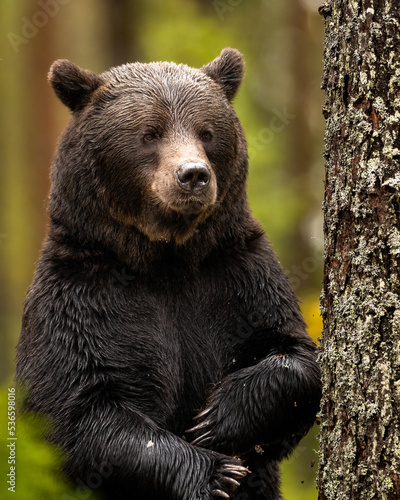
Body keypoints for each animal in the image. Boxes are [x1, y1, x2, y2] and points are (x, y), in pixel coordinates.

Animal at [16, 49, 322, 500]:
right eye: (150, 133)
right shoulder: (81, 299)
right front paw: (214, 472)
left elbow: (294, 356)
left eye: (207, 131)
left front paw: (217, 417)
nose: (193, 174)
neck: (166, 259)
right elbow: (75, 412)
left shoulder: (238, 274)